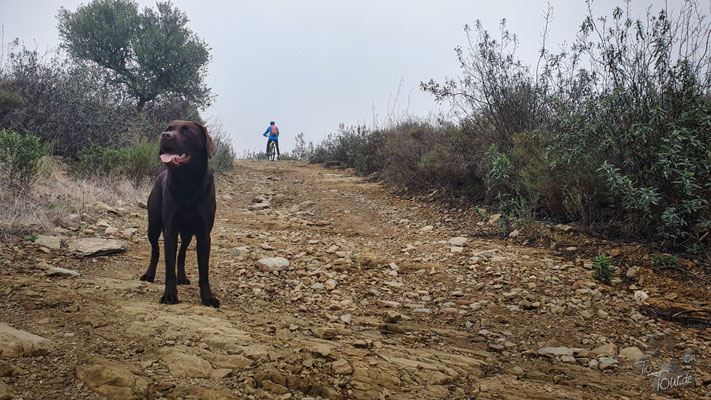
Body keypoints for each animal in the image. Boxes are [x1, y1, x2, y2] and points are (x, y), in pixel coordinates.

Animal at [138, 120, 218, 308]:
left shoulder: (204, 235)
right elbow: (168, 268)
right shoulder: (170, 232)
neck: (187, 183)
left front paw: (208, 298)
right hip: (153, 226)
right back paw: (149, 274)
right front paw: (169, 295)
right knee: (155, 251)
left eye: (186, 131)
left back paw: (182, 276)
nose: (165, 135)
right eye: (168, 129)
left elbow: (203, 272)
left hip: (188, 233)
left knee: (181, 254)